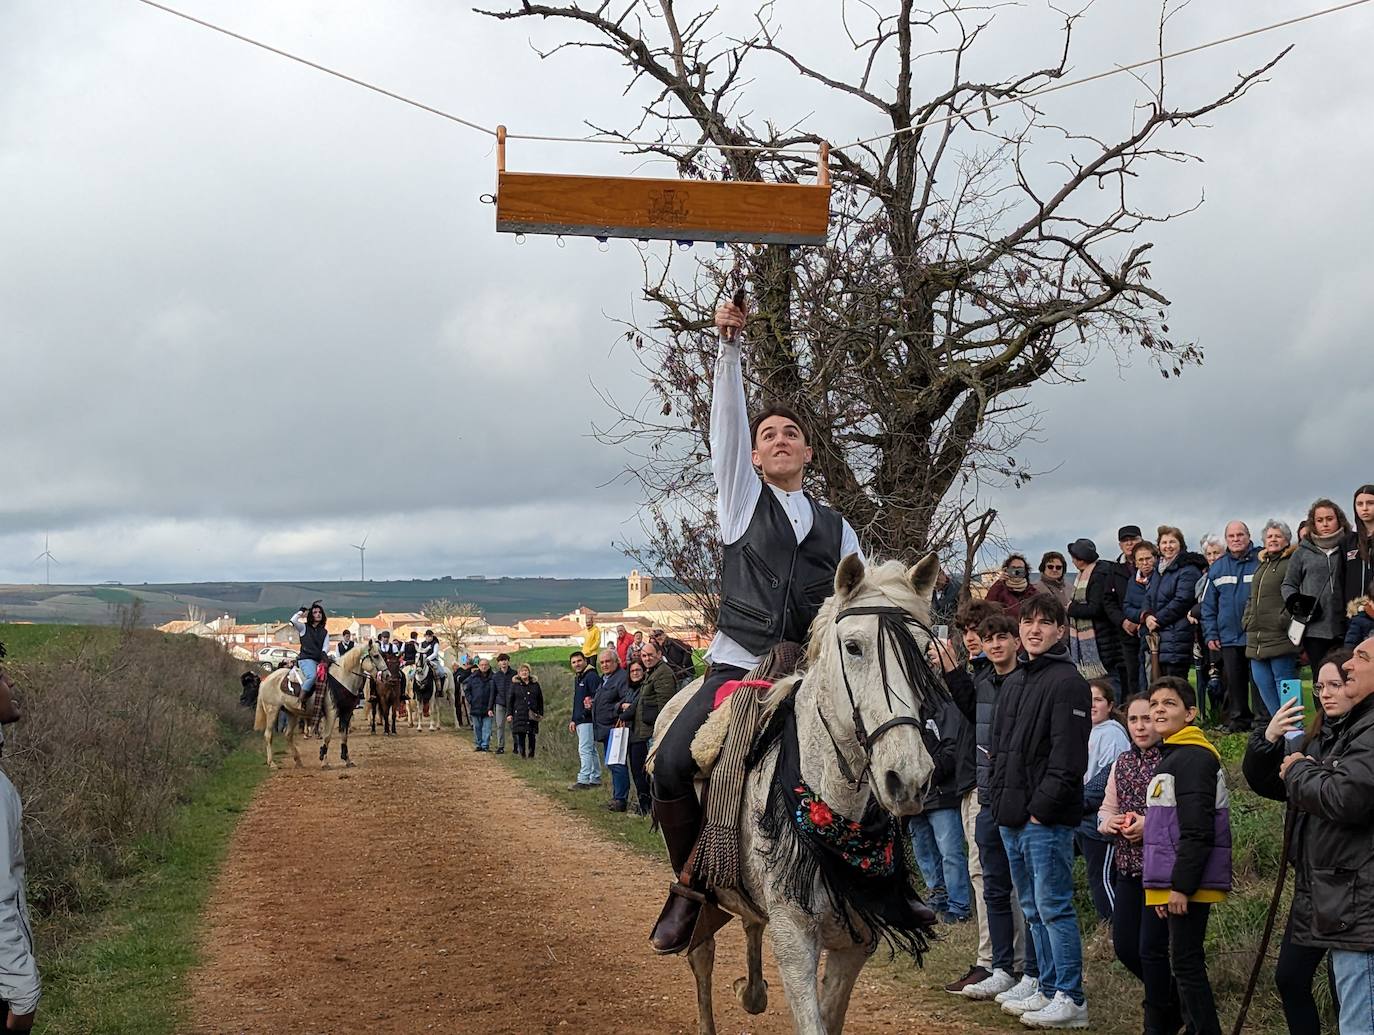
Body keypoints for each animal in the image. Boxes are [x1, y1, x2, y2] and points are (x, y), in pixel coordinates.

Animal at [251, 637, 381, 769]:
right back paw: (272, 763)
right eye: (376, 656)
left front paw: (347, 760)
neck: (342, 678)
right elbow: (327, 736)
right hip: (272, 711)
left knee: (288, 735)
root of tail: (266, 680)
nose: (385, 674)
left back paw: (298, 761)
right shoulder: (331, 713)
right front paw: (324, 762)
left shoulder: (346, 713)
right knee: (268, 735)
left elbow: (344, 737)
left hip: (291, 713)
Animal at [654, 558, 945, 1033]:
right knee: (702, 954)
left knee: (750, 922)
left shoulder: (856, 942)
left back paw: (752, 992)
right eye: (853, 647)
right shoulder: (794, 940)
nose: (909, 777)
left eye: (924, 650)